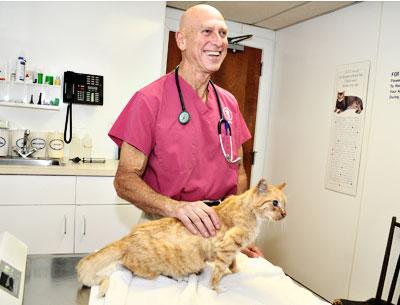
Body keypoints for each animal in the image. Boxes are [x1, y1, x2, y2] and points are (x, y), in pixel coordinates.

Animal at [76, 178, 288, 294]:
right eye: (275, 203)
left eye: (285, 204)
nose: (285, 214)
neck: (252, 213)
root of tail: (126, 239)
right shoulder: (227, 247)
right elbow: (218, 272)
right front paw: (217, 288)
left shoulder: (232, 250)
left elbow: (234, 264)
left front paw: (235, 272)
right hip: (159, 268)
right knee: (130, 268)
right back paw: (182, 278)